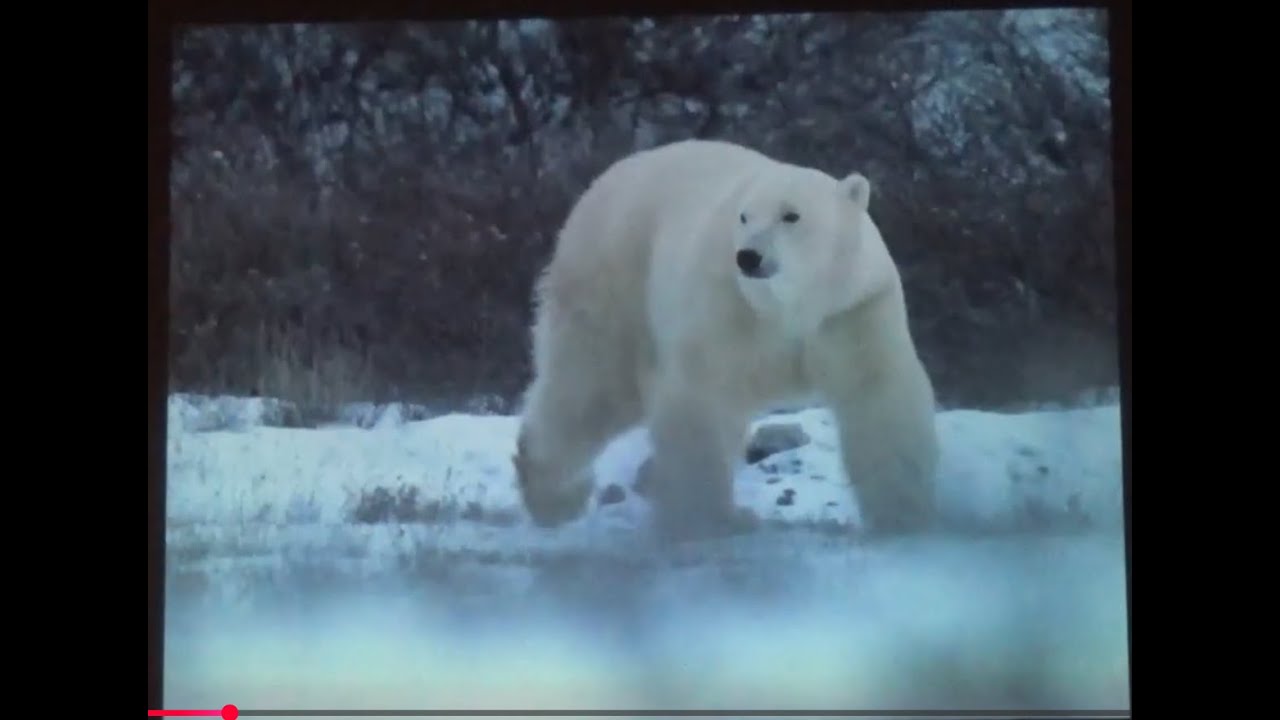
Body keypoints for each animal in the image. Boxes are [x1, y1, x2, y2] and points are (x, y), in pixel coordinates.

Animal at [513, 139, 939, 540]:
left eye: (791, 215)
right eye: (745, 216)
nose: (748, 257)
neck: (788, 308)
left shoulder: (851, 309)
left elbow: (878, 394)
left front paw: (905, 517)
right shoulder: (724, 307)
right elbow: (701, 399)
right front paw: (709, 519)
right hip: (618, 281)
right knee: (592, 387)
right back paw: (555, 495)